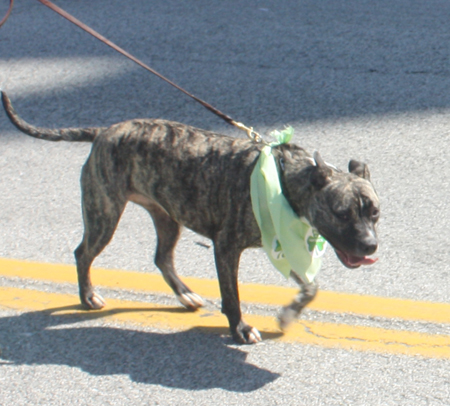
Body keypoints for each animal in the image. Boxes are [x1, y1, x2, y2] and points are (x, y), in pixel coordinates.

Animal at [2, 93, 380, 344]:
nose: (370, 245)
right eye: (342, 213)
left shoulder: (285, 244)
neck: (287, 178)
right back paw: (88, 296)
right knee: (83, 253)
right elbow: (232, 296)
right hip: (104, 213)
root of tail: (105, 132)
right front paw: (240, 329)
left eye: (375, 212)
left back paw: (185, 295)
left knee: (161, 258)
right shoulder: (226, 248)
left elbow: (311, 288)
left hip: (168, 216)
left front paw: (289, 314)